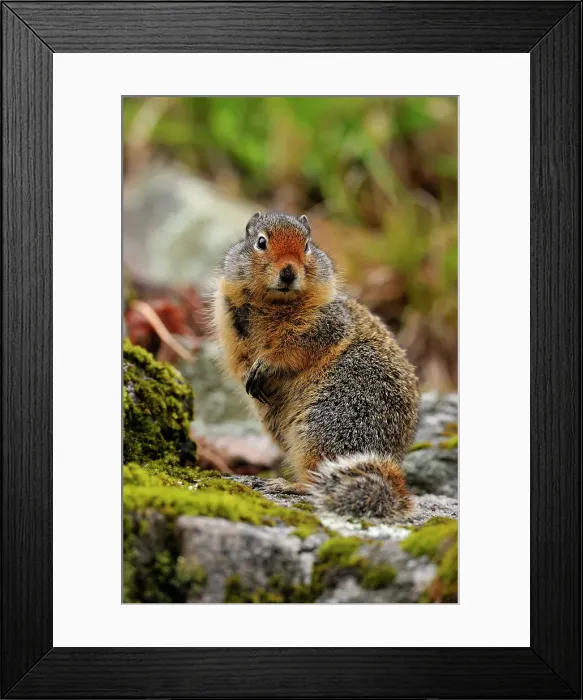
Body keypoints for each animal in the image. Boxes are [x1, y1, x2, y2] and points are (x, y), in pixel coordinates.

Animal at [214, 211, 420, 519]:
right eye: (261, 242)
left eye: (307, 245)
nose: (288, 272)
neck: (275, 301)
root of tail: (389, 459)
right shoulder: (229, 320)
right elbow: (238, 358)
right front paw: (248, 375)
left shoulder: (325, 323)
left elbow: (296, 348)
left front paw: (266, 366)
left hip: (326, 424)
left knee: (316, 478)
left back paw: (287, 485)